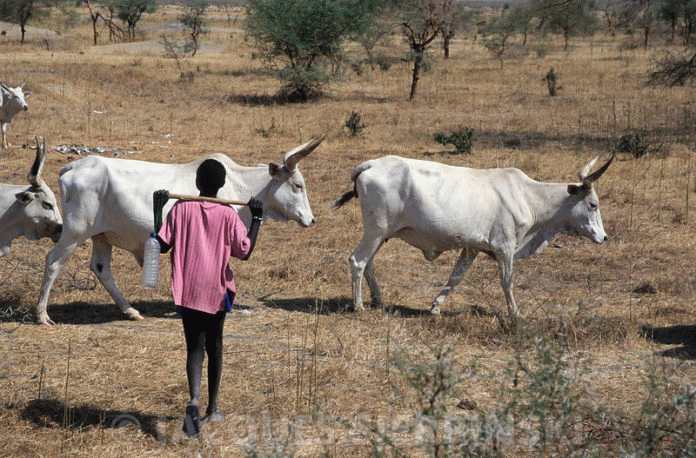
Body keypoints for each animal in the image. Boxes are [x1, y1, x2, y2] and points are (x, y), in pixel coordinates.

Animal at [34, 134, 324, 324]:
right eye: (298, 185)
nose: (311, 220)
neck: (239, 185)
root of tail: (72, 166)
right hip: (75, 232)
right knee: (53, 261)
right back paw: (42, 315)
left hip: (101, 236)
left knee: (101, 268)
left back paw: (130, 311)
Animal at [334, 154, 612, 326]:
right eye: (593, 204)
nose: (604, 237)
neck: (528, 196)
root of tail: (372, 164)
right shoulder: (504, 247)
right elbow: (507, 282)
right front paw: (515, 315)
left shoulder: (471, 248)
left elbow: (455, 277)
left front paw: (435, 307)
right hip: (376, 230)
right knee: (357, 260)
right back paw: (359, 305)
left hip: (381, 234)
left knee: (368, 263)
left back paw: (377, 299)